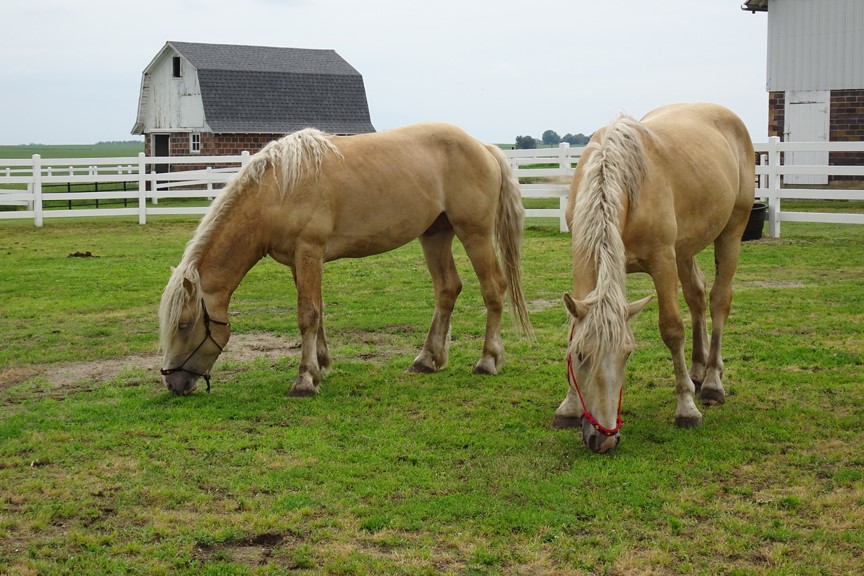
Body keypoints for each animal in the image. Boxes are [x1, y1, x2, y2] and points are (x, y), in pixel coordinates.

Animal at [157, 123, 532, 396]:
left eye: (184, 324)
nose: (173, 382)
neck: (278, 188)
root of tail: (483, 147)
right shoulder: (299, 261)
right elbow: (317, 312)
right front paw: (321, 365)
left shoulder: (309, 250)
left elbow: (307, 315)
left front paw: (304, 380)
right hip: (435, 235)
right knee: (447, 290)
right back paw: (427, 359)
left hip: (474, 233)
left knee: (493, 289)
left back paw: (488, 360)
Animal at [556, 104, 752, 454]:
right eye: (580, 356)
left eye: (627, 354)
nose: (604, 440)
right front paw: (568, 406)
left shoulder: (663, 263)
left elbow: (672, 329)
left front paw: (687, 408)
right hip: (685, 251)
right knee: (697, 297)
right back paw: (697, 370)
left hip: (730, 233)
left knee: (718, 301)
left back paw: (711, 383)